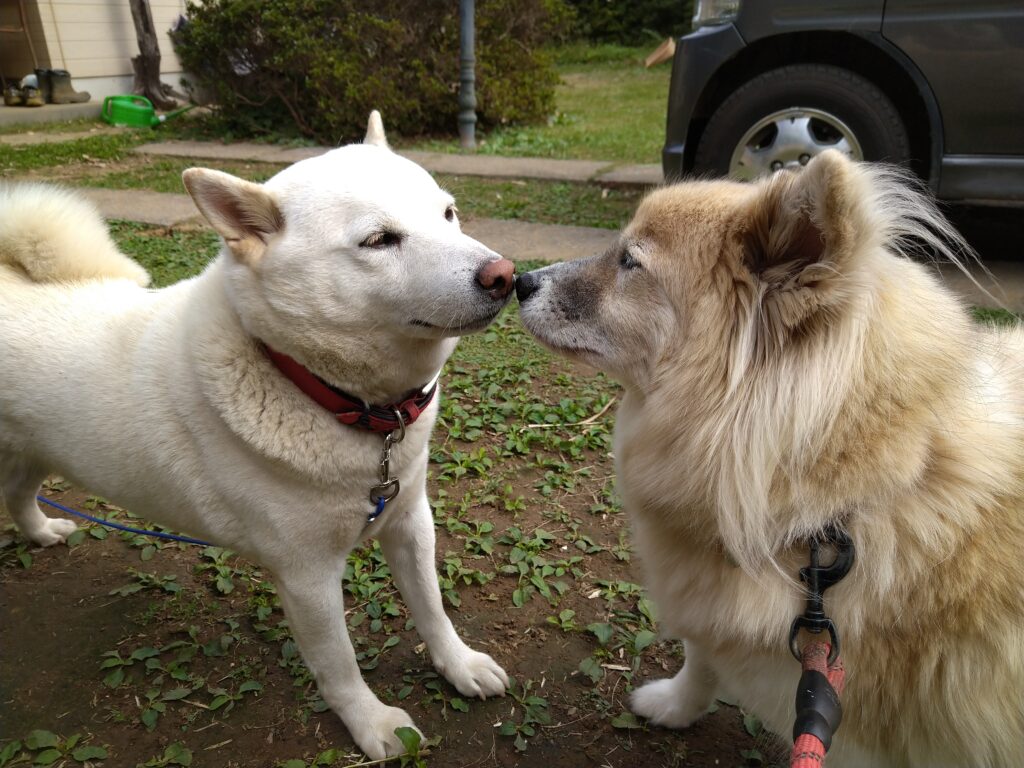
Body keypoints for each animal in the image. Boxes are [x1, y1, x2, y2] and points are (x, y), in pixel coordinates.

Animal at [0, 114, 512, 765]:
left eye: (448, 213)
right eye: (379, 241)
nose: (506, 276)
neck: (336, 399)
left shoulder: (410, 522)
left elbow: (432, 609)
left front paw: (460, 665)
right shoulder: (307, 575)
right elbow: (339, 664)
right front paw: (371, 724)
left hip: (37, 451)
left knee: (19, 493)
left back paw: (41, 532)